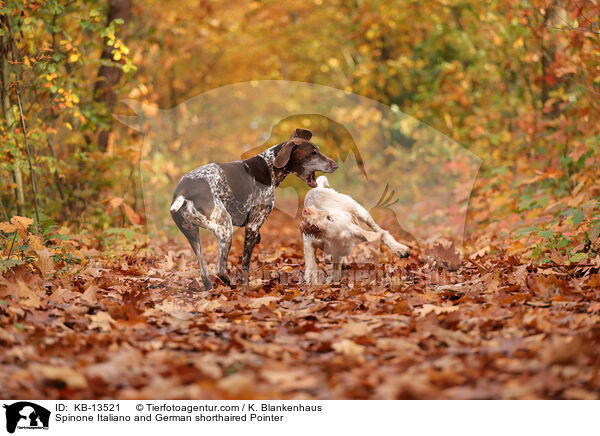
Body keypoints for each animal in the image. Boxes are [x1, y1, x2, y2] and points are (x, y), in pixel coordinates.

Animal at [171, 129, 338, 290]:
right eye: (313, 152)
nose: (335, 165)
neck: (270, 166)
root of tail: (183, 191)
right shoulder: (252, 225)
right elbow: (246, 263)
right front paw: (246, 284)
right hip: (225, 228)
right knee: (220, 269)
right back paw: (234, 286)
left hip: (193, 235)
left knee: (204, 273)